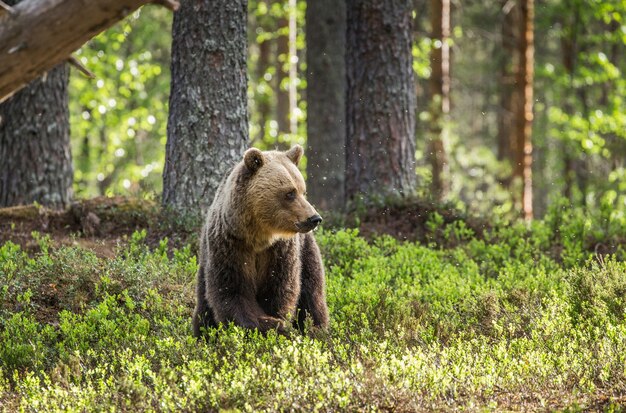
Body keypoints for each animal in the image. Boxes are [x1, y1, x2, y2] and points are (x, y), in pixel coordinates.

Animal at [191, 145, 330, 334]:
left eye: (303, 190)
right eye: (290, 193)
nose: (314, 218)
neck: (258, 235)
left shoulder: (280, 250)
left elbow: (279, 289)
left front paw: (276, 323)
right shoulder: (229, 245)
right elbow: (232, 290)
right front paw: (262, 324)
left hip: (306, 251)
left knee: (312, 293)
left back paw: (316, 329)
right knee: (203, 309)